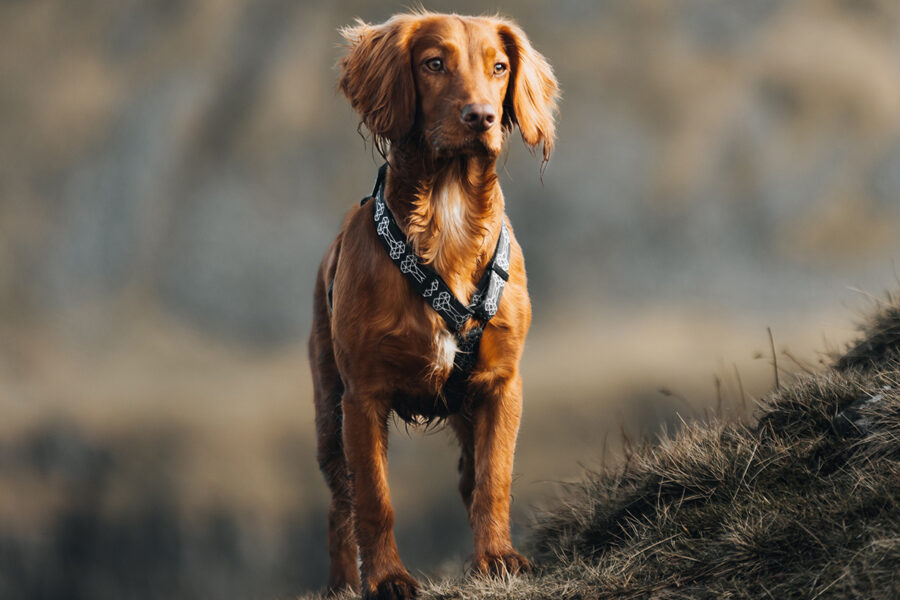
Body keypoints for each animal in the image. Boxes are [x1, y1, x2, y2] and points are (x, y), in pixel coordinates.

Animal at [312, 10, 560, 600]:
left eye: (499, 67)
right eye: (433, 64)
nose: (482, 117)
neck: (447, 215)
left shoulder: (501, 384)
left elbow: (494, 479)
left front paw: (497, 558)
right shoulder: (362, 396)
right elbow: (373, 500)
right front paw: (386, 579)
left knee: (470, 477)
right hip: (328, 412)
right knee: (339, 505)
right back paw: (341, 585)